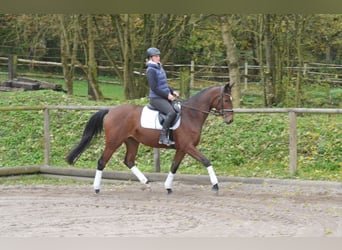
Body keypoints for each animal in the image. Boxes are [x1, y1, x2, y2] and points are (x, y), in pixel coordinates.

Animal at [65, 83, 234, 194]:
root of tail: (111, 110)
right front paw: (215, 185)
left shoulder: (182, 148)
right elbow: (206, 161)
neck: (191, 115)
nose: (230, 120)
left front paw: (168, 187)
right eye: (226, 100)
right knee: (102, 161)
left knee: (129, 161)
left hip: (132, 141)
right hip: (113, 142)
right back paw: (97, 188)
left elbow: (174, 166)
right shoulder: (188, 146)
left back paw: (146, 183)